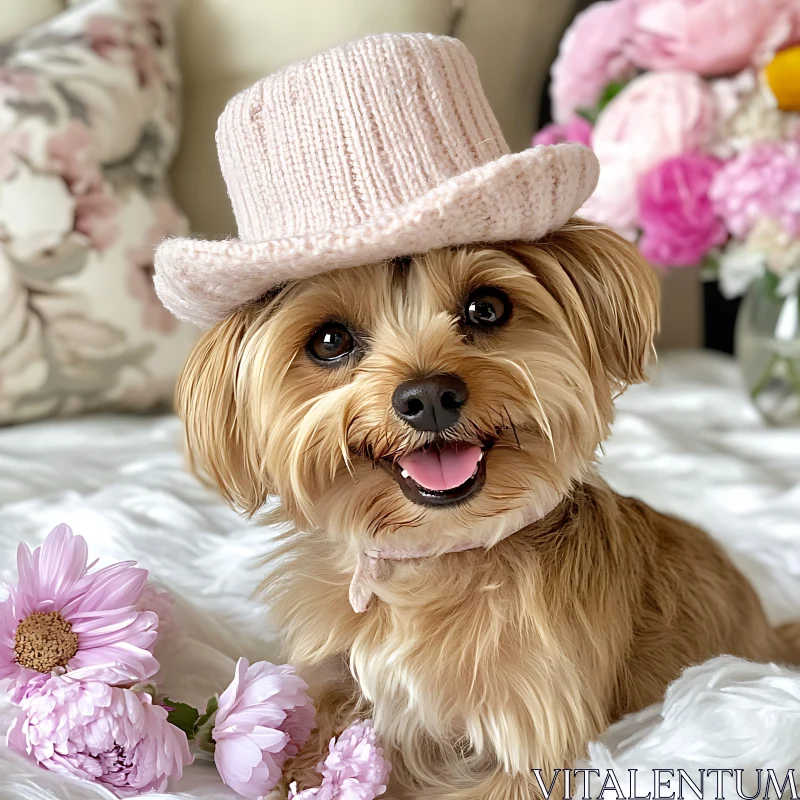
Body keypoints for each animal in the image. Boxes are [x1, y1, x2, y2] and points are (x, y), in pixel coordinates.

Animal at [156, 31, 800, 800]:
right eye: (330, 341)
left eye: (486, 308)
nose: (429, 396)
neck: (438, 559)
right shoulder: (336, 685)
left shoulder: (532, 738)